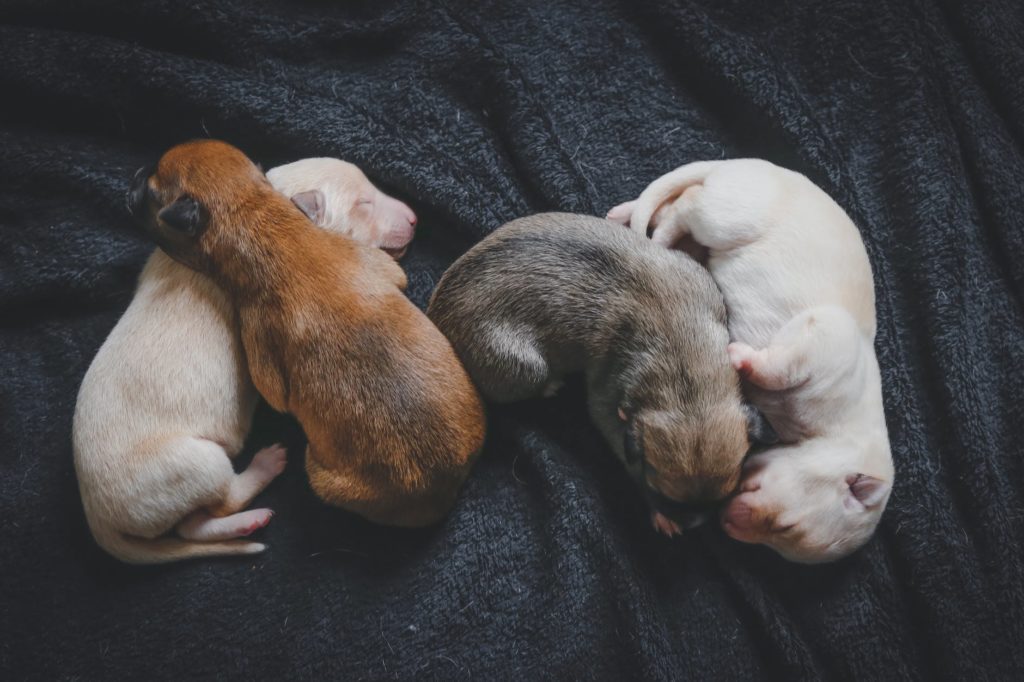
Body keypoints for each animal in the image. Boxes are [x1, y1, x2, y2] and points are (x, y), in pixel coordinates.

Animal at [72, 155, 417, 561]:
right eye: (363, 204)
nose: (414, 218)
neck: (256, 204)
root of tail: (98, 521)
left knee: (193, 524)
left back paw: (246, 523)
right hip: (191, 463)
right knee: (222, 500)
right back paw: (265, 466)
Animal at [421, 212, 770, 532]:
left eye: (724, 495)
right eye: (656, 488)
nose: (695, 525)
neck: (686, 377)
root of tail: (437, 316)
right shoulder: (607, 399)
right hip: (523, 366)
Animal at [610, 159, 892, 561]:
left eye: (777, 548)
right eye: (787, 526)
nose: (725, 524)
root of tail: (746, 164)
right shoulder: (828, 339)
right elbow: (782, 367)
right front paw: (740, 356)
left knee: (674, 206)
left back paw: (626, 215)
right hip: (729, 216)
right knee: (685, 204)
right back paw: (658, 237)